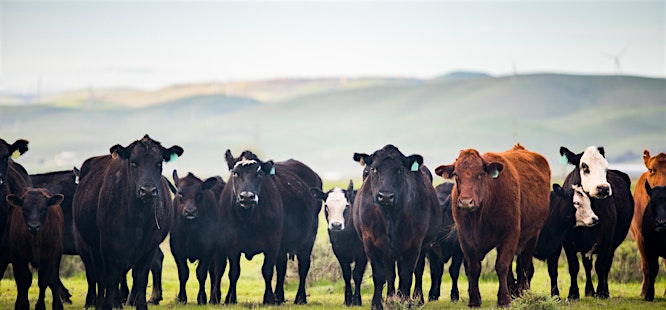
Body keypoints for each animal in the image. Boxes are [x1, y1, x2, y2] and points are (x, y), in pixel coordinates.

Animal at [73, 134, 179, 308]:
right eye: (133, 162)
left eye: (159, 163)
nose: (148, 191)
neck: (138, 218)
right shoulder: (107, 246)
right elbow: (110, 278)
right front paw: (108, 305)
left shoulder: (149, 246)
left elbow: (140, 277)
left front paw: (139, 304)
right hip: (90, 246)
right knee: (97, 274)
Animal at [350, 145, 438, 310]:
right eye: (374, 169)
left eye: (400, 169)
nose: (385, 196)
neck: (389, 217)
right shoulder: (371, 243)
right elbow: (380, 275)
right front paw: (377, 303)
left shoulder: (414, 244)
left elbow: (407, 275)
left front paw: (406, 302)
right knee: (391, 274)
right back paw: (391, 299)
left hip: (421, 246)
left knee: (418, 271)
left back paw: (417, 299)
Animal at [434, 143, 548, 308]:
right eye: (456, 175)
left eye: (481, 174)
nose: (466, 202)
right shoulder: (464, 239)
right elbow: (473, 268)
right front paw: (475, 300)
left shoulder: (510, 234)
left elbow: (501, 265)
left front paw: (504, 300)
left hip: (532, 235)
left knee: (525, 266)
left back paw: (523, 292)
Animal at [556, 147, 632, 300]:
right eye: (585, 166)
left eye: (605, 168)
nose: (603, 188)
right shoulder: (567, 241)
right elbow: (574, 266)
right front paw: (573, 294)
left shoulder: (607, 240)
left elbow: (601, 266)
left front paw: (602, 292)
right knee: (587, 264)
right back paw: (589, 291)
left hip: (612, 244)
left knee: (605, 266)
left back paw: (604, 291)